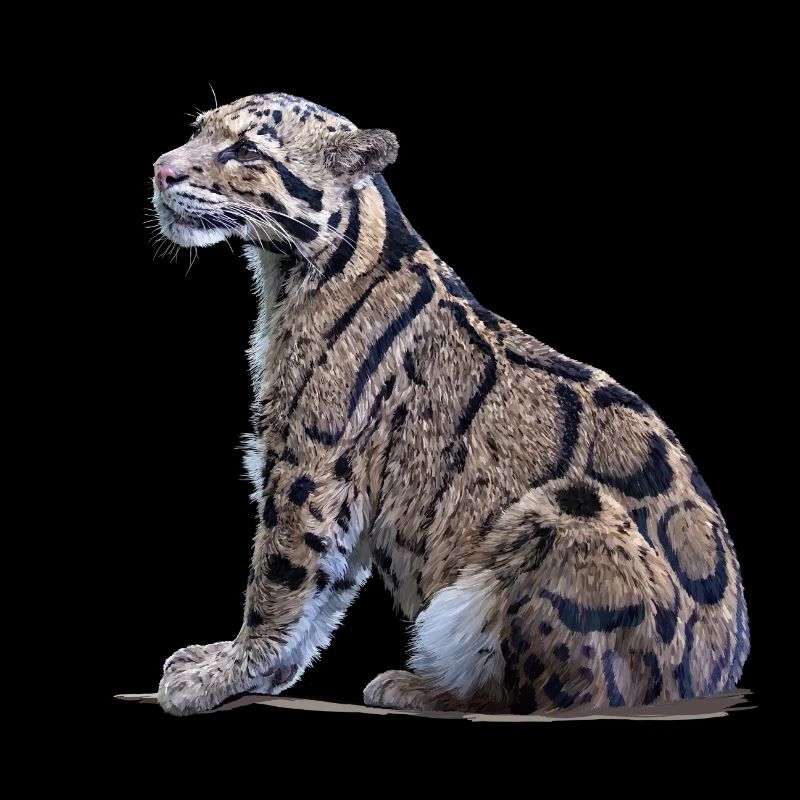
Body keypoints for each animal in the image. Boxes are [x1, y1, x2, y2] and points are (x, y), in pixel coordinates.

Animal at [151, 92, 749, 716]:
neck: (285, 277)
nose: (161, 170)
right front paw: (256, 671)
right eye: (198, 130)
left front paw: (221, 673)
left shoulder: (308, 466)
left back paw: (423, 685)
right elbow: (322, 591)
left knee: (562, 696)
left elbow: (280, 580)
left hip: (571, 511)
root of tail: (715, 674)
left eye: (246, 150)